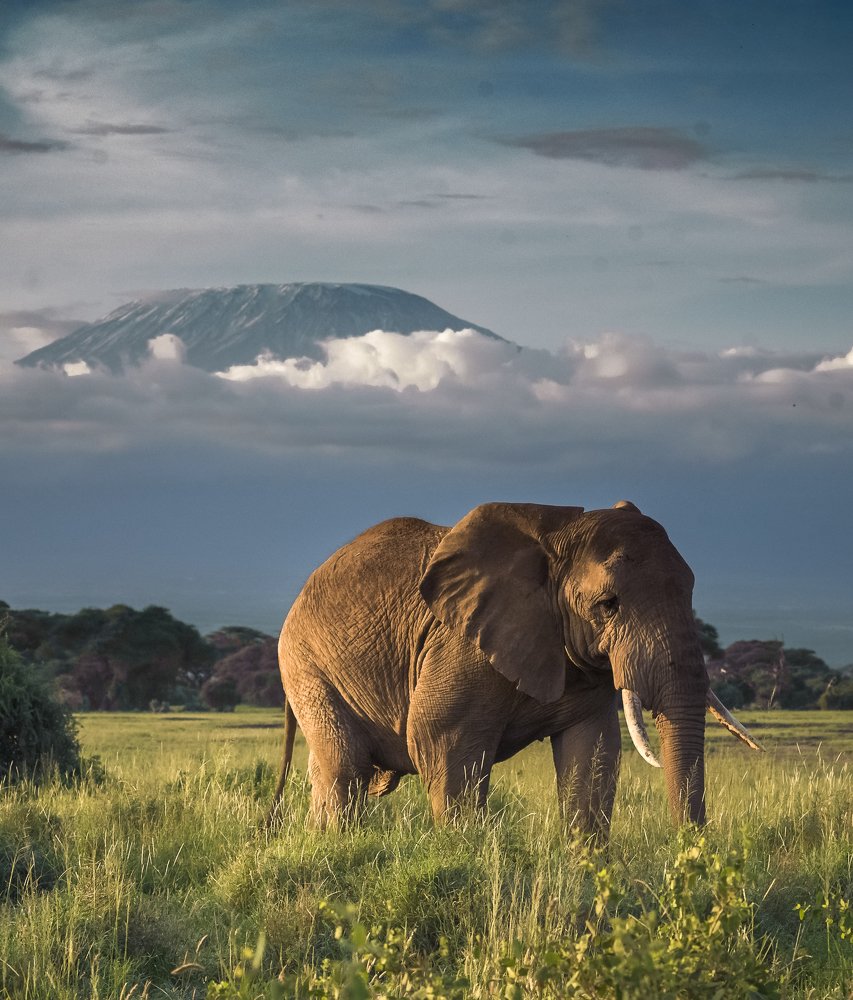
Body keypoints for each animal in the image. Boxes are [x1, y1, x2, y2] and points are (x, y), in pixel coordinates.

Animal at [269, 501, 760, 835]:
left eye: (690, 590)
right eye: (608, 604)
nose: (689, 851)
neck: (556, 537)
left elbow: (593, 750)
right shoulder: (460, 645)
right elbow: (443, 740)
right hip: (307, 665)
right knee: (344, 768)